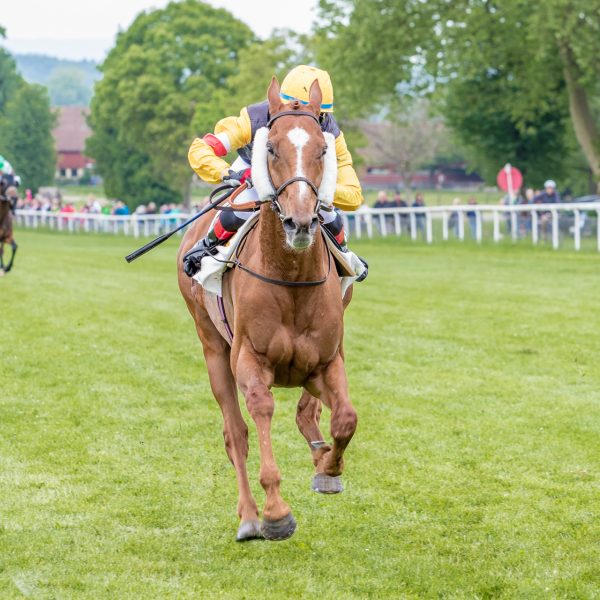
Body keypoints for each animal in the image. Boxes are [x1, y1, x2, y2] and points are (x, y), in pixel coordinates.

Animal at [177, 77, 358, 542]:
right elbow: (259, 413)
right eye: (270, 148)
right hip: (212, 347)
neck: (290, 277)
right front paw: (276, 512)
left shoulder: (326, 360)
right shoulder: (250, 361)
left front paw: (328, 468)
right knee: (235, 435)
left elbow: (345, 418)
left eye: (324, 150)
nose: (300, 222)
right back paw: (248, 517)